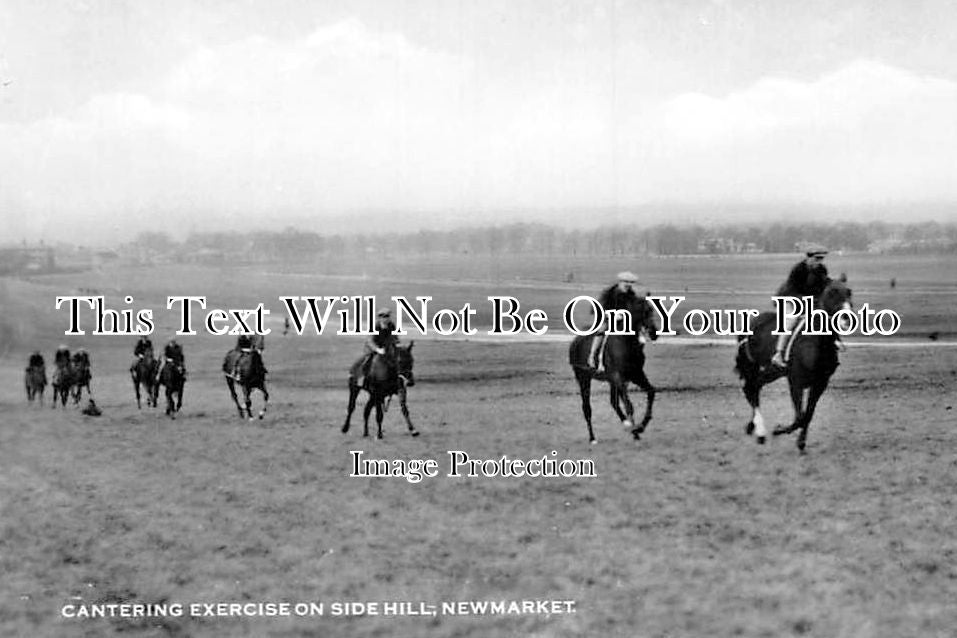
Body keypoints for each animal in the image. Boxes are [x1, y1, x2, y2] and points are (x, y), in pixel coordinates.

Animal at [568, 298, 656, 444]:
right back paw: (592, 438)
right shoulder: (618, 377)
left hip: (611, 381)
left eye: (652, 310)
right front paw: (636, 430)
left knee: (613, 402)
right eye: (643, 312)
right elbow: (629, 405)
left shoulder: (636, 375)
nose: (654, 333)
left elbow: (651, 392)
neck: (626, 343)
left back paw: (627, 425)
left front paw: (639, 428)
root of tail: (575, 341)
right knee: (587, 408)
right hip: (584, 379)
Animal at [736, 278, 856, 456]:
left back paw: (753, 428)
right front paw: (778, 430)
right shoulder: (795, 383)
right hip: (754, 367)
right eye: (831, 292)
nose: (848, 318)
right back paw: (761, 433)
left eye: (849, 292)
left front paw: (800, 442)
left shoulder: (819, 384)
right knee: (750, 389)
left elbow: (808, 415)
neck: (815, 346)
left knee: (754, 388)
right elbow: (800, 417)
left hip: (772, 372)